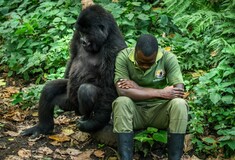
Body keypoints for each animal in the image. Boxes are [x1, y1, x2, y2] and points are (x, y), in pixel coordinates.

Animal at [20, 4, 126, 137]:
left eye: (87, 33)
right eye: (81, 32)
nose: (83, 41)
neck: (105, 36)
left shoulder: (114, 48)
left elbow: (109, 87)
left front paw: (95, 122)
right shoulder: (76, 36)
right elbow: (72, 58)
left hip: (78, 108)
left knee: (86, 90)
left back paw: (87, 118)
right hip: (68, 102)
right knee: (50, 88)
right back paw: (43, 127)